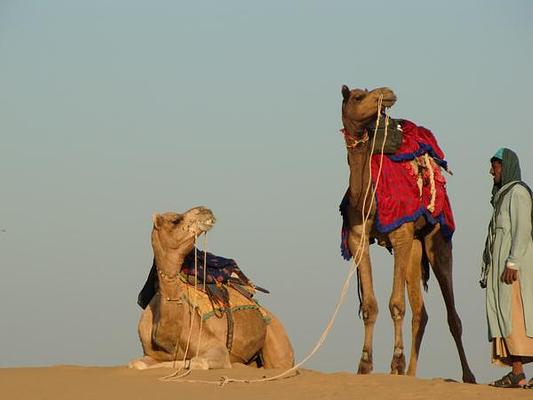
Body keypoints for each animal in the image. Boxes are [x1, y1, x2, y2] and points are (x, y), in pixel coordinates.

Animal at [338, 86, 476, 382]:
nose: (387, 92)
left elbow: (396, 304)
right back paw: (412, 374)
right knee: (421, 313)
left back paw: (468, 376)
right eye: (358, 97)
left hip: (438, 238)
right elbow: (370, 305)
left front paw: (396, 362)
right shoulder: (357, 240)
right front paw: (365, 364)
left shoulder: (400, 234)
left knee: (452, 315)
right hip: (414, 247)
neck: (366, 197)